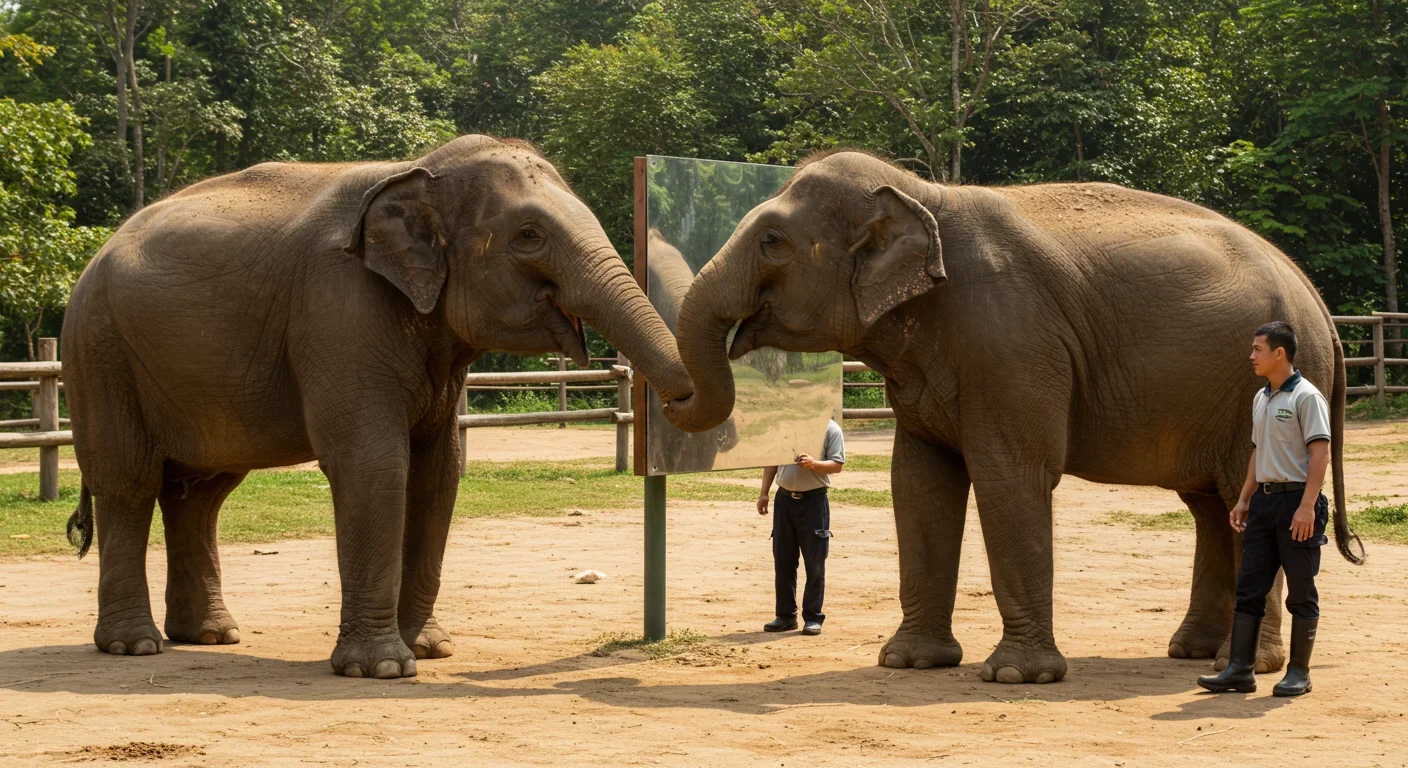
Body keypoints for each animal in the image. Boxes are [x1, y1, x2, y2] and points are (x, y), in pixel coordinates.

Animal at [60, 135, 694, 679]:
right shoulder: (339, 310)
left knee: (200, 493)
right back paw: (134, 646)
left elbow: (439, 472)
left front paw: (432, 650)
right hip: (99, 351)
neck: (420, 171)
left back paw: (211, 637)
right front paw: (384, 668)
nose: (684, 397)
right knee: (129, 482)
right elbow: (374, 463)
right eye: (529, 235)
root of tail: (96, 254)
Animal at [663, 149, 1363, 684]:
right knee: (1212, 507)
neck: (923, 195)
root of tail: (1316, 300)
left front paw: (1015, 676)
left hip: (1252, 392)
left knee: (1243, 499)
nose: (668, 396)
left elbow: (1011, 476)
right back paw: (1191, 652)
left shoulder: (1012, 341)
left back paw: (1243, 665)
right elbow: (918, 483)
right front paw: (909, 663)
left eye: (772, 242)